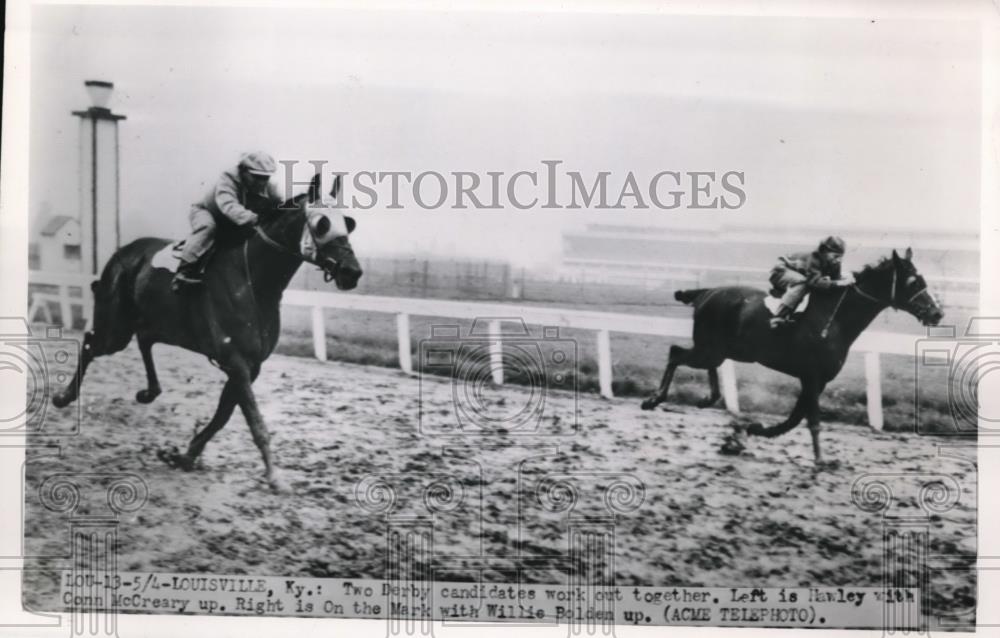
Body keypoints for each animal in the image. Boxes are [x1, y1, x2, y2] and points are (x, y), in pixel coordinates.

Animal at [51, 172, 364, 492]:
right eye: (322, 224)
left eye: (348, 222)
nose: (352, 272)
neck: (253, 281)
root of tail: (123, 252)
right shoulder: (236, 361)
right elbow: (255, 422)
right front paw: (275, 477)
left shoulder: (250, 366)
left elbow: (223, 415)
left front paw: (184, 455)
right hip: (116, 329)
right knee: (91, 343)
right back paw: (64, 396)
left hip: (157, 323)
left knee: (144, 341)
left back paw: (149, 392)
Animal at [644, 248, 940, 462]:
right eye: (912, 281)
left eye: (923, 280)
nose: (937, 313)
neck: (835, 320)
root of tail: (707, 292)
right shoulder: (812, 376)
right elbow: (811, 420)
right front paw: (821, 460)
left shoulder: (817, 380)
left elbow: (796, 417)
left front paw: (749, 431)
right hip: (709, 348)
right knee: (675, 354)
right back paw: (654, 399)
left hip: (718, 350)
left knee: (704, 364)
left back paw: (708, 398)